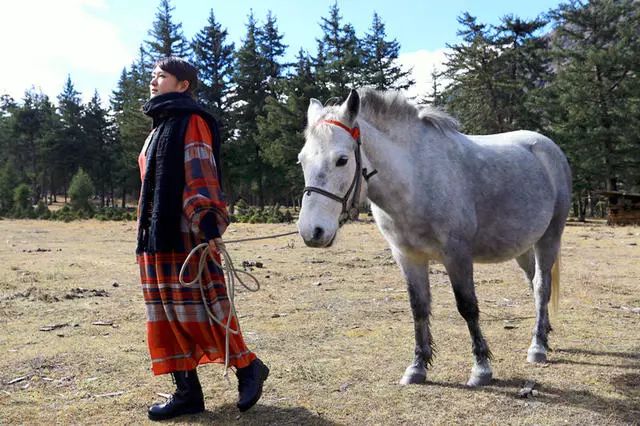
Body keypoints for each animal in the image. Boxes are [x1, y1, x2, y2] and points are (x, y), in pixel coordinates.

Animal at [298, 87, 572, 386]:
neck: (416, 178)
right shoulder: (408, 257)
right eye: (302, 160)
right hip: (523, 248)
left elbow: (467, 306)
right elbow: (418, 307)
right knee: (534, 285)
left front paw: (481, 368)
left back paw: (538, 346)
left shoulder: (457, 256)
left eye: (342, 160)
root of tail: (548, 147)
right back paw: (544, 333)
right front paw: (418, 366)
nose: (312, 231)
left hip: (549, 238)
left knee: (542, 286)